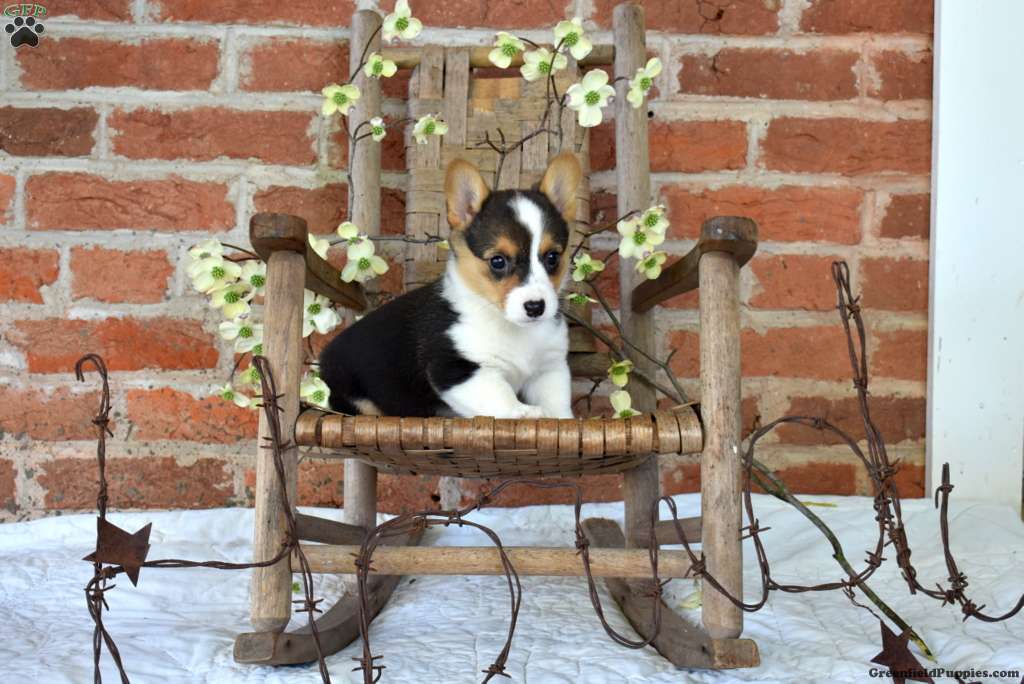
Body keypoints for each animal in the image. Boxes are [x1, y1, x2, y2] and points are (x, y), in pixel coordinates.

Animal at [318, 152, 582, 419]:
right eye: (498, 261)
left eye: (552, 257)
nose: (536, 307)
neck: (511, 326)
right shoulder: (456, 370)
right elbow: (500, 395)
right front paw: (526, 412)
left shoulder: (549, 369)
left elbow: (557, 404)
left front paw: (561, 418)